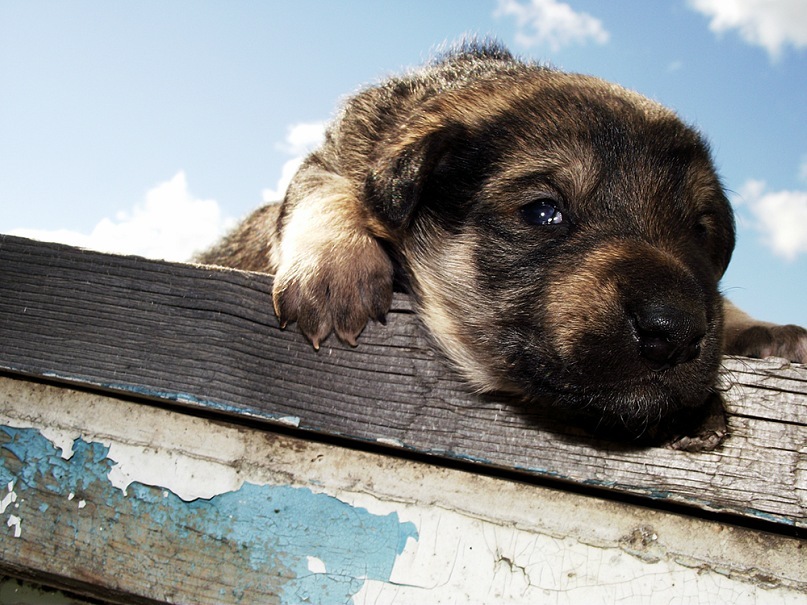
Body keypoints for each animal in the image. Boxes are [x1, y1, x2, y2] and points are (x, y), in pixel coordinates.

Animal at [197, 41, 807, 434]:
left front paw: (759, 329)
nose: (675, 330)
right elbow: (329, 189)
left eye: (700, 233)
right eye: (543, 213)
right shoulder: (339, 156)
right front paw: (335, 266)